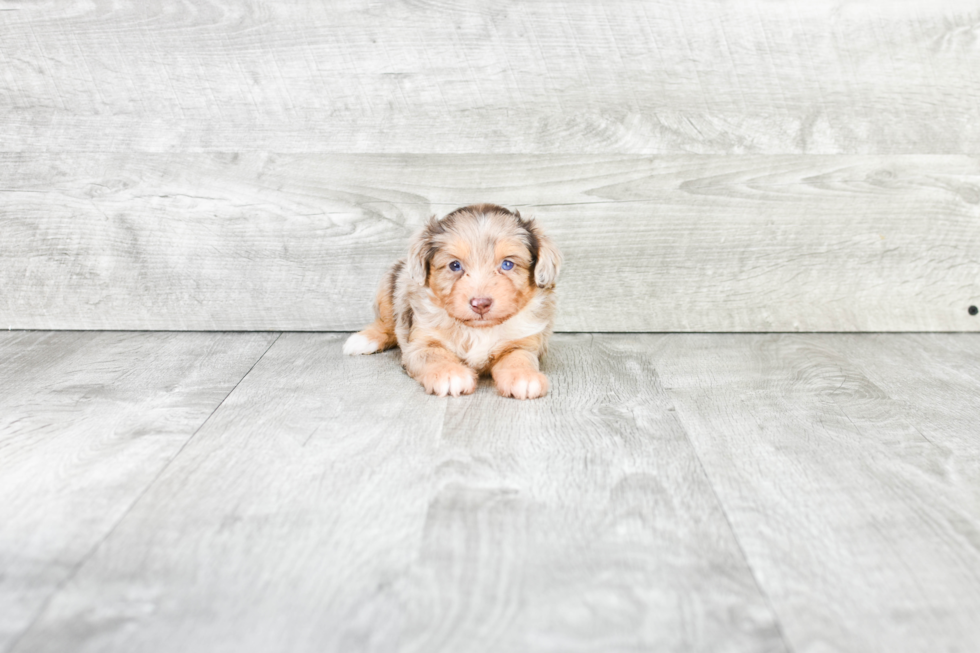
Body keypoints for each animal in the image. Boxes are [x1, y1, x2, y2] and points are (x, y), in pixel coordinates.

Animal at [344, 204, 564, 398]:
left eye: (507, 264)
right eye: (455, 265)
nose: (480, 304)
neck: (478, 330)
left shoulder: (524, 343)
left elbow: (519, 357)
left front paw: (524, 376)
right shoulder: (420, 343)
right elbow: (435, 355)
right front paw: (450, 374)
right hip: (391, 282)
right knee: (387, 324)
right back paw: (364, 339)